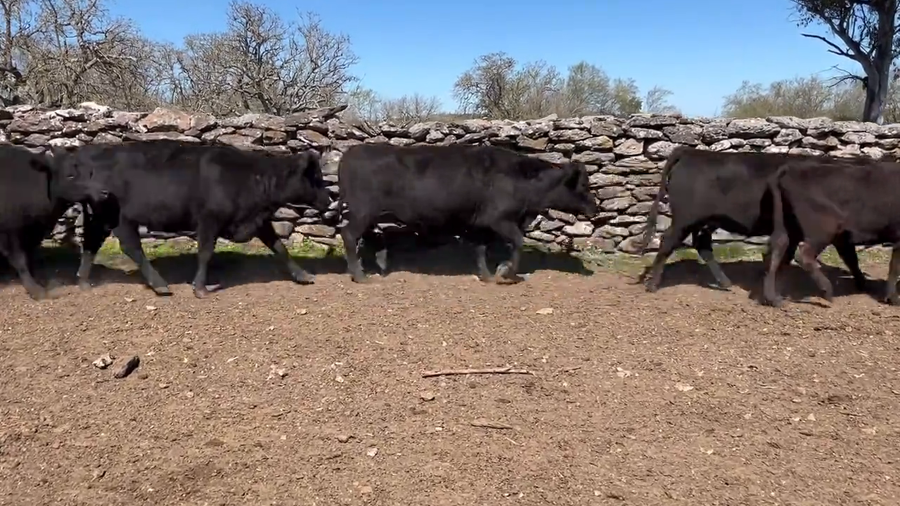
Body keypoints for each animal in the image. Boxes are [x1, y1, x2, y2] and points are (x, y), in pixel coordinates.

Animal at [0, 144, 103, 300]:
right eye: (70, 175)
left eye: (90, 173)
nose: (104, 192)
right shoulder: (9, 231)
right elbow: (20, 260)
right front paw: (36, 290)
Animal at [49, 140, 331, 298]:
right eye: (315, 178)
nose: (329, 200)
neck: (252, 177)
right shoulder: (208, 221)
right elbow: (205, 253)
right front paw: (201, 288)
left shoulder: (258, 221)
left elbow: (280, 247)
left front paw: (303, 275)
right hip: (121, 219)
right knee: (131, 248)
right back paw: (160, 285)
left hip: (99, 217)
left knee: (90, 244)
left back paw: (84, 282)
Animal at [337, 143, 598, 284]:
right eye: (584, 185)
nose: (595, 208)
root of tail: (350, 152)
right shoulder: (500, 219)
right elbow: (518, 241)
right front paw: (507, 272)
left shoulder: (481, 223)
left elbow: (481, 249)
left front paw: (487, 275)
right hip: (362, 211)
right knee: (349, 235)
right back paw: (360, 276)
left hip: (369, 214)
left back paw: (378, 267)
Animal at [639, 146, 867, 293]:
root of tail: (691, 152)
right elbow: (850, 256)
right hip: (686, 218)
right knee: (667, 241)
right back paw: (652, 284)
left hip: (707, 220)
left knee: (702, 244)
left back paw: (725, 283)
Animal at [762, 155, 900, 307]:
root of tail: (790, 168)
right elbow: (895, 266)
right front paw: (893, 298)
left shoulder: (844, 238)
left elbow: (852, 259)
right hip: (825, 227)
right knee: (803, 254)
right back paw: (827, 291)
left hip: (786, 224)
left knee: (776, 250)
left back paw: (773, 298)